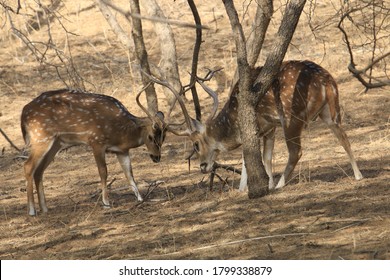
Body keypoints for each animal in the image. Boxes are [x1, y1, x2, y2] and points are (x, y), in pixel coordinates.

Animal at [21, 88, 166, 215]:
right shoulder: (96, 141)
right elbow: (103, 172)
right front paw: (106, 203)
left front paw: (140, 199)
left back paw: (44, 208)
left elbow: (129, 173)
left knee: (39, 171)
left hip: (56, 143)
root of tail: (23, 114)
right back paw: (32, 211)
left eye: (163, 137)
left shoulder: (122, 151)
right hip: (41, 136)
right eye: (150, 136)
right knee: (28, 166)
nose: (156, 157)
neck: (121, 134)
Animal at [150, 60, 366, 192]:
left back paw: (280, 185)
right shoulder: (270, 127)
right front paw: (262, 184)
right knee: (344, 138)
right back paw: (358, 175)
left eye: (196, 144)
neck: (232, 118)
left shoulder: (259, 127)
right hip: (330, 112)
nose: (202, 166)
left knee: (296, 151)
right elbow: (266, 157)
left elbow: (248, 157)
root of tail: (326, 81)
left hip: (292, 117)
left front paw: (246, 188)